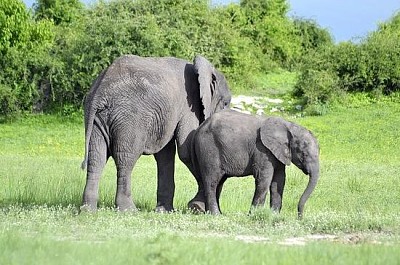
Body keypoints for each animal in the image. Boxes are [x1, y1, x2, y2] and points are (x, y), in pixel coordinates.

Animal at [80, 54, 231, 211]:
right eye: (226, 103)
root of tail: (100, 91)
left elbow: (165, 154)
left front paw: (165, 210)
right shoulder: (189, 105)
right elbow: (186, 151)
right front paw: (197, 207)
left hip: (97, 119)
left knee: (96, 157)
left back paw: (88, 210)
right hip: (129, 118)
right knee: (125, 157)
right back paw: (129, 210)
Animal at [189, 108, 320, 218]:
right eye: (304, 154)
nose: (300, 218)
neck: (289, 125)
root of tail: (199, 128)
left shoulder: (276, 153)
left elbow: (279, 180)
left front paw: (274, 216)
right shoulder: (262, 150)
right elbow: (264, 178)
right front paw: (254, 215)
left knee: (219, 182)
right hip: (209, 149)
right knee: (212, 181)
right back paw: (215, 215)